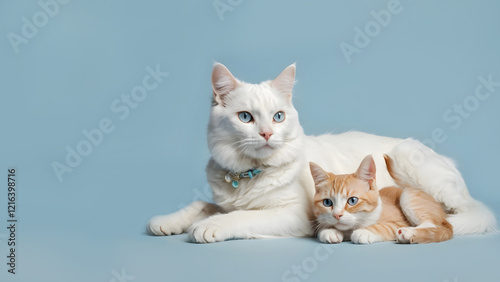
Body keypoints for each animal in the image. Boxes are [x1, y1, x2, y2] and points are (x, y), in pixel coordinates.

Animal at [310, 154, 452, 245]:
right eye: (327, 202)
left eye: (352, 200)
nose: (337, 215)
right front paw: (329, 231)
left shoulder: (399, 222)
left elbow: (385, 227)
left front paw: (364, 232)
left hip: (408, 195)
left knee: (432, 223)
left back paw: (409, 233)